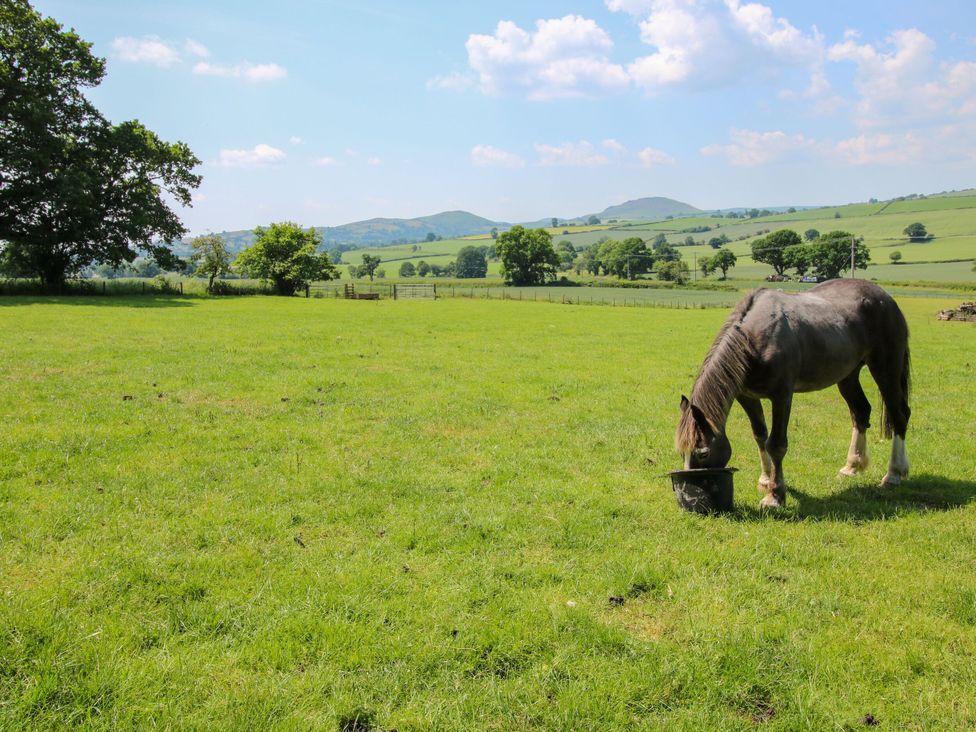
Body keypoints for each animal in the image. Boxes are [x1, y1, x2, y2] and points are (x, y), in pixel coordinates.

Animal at [675, 279, 911, 508]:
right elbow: (760, 436)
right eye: (681, 452)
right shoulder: (747, 396)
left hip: (885, 369)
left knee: (899, 414)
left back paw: (893, 474)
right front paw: (766, 479)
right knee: (861, 412)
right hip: (848, 375)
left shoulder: (782, 396)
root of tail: (886, 298)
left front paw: (775, 496)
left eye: (703, 453)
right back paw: (852, 466)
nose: (689, 487)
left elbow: (776, 444)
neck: (754, 340)